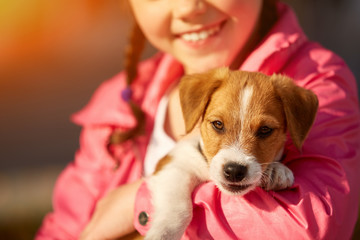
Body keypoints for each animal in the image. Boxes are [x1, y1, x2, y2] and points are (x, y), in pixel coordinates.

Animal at [141, 67, 318, 240]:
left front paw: (277, 170)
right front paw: (162, 233)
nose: (234, 171)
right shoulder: (173, 165)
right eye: (218, 124)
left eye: (265, 130)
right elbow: (178, 210)